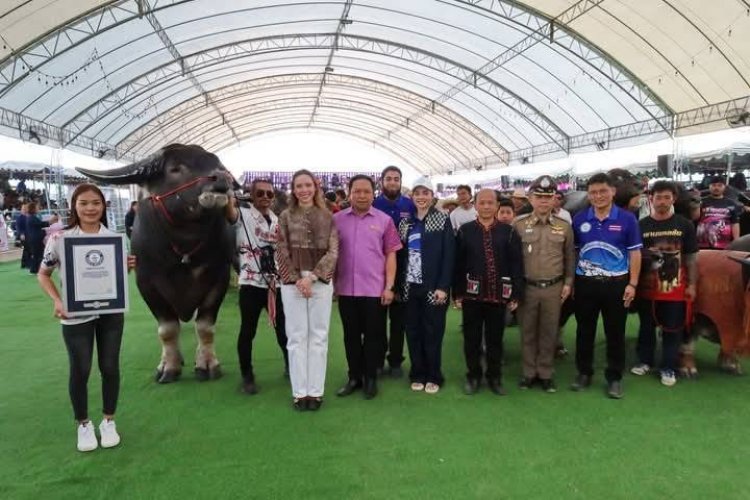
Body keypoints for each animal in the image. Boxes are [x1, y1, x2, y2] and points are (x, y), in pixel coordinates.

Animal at [76, 144, 235, 382]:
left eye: (217, 164)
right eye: (175, 168)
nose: (221, 179)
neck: (184, 246)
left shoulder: (220, 277)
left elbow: (205, 327)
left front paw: (207, 363)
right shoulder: (146, 283)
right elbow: (167, 330)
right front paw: (169, 367)